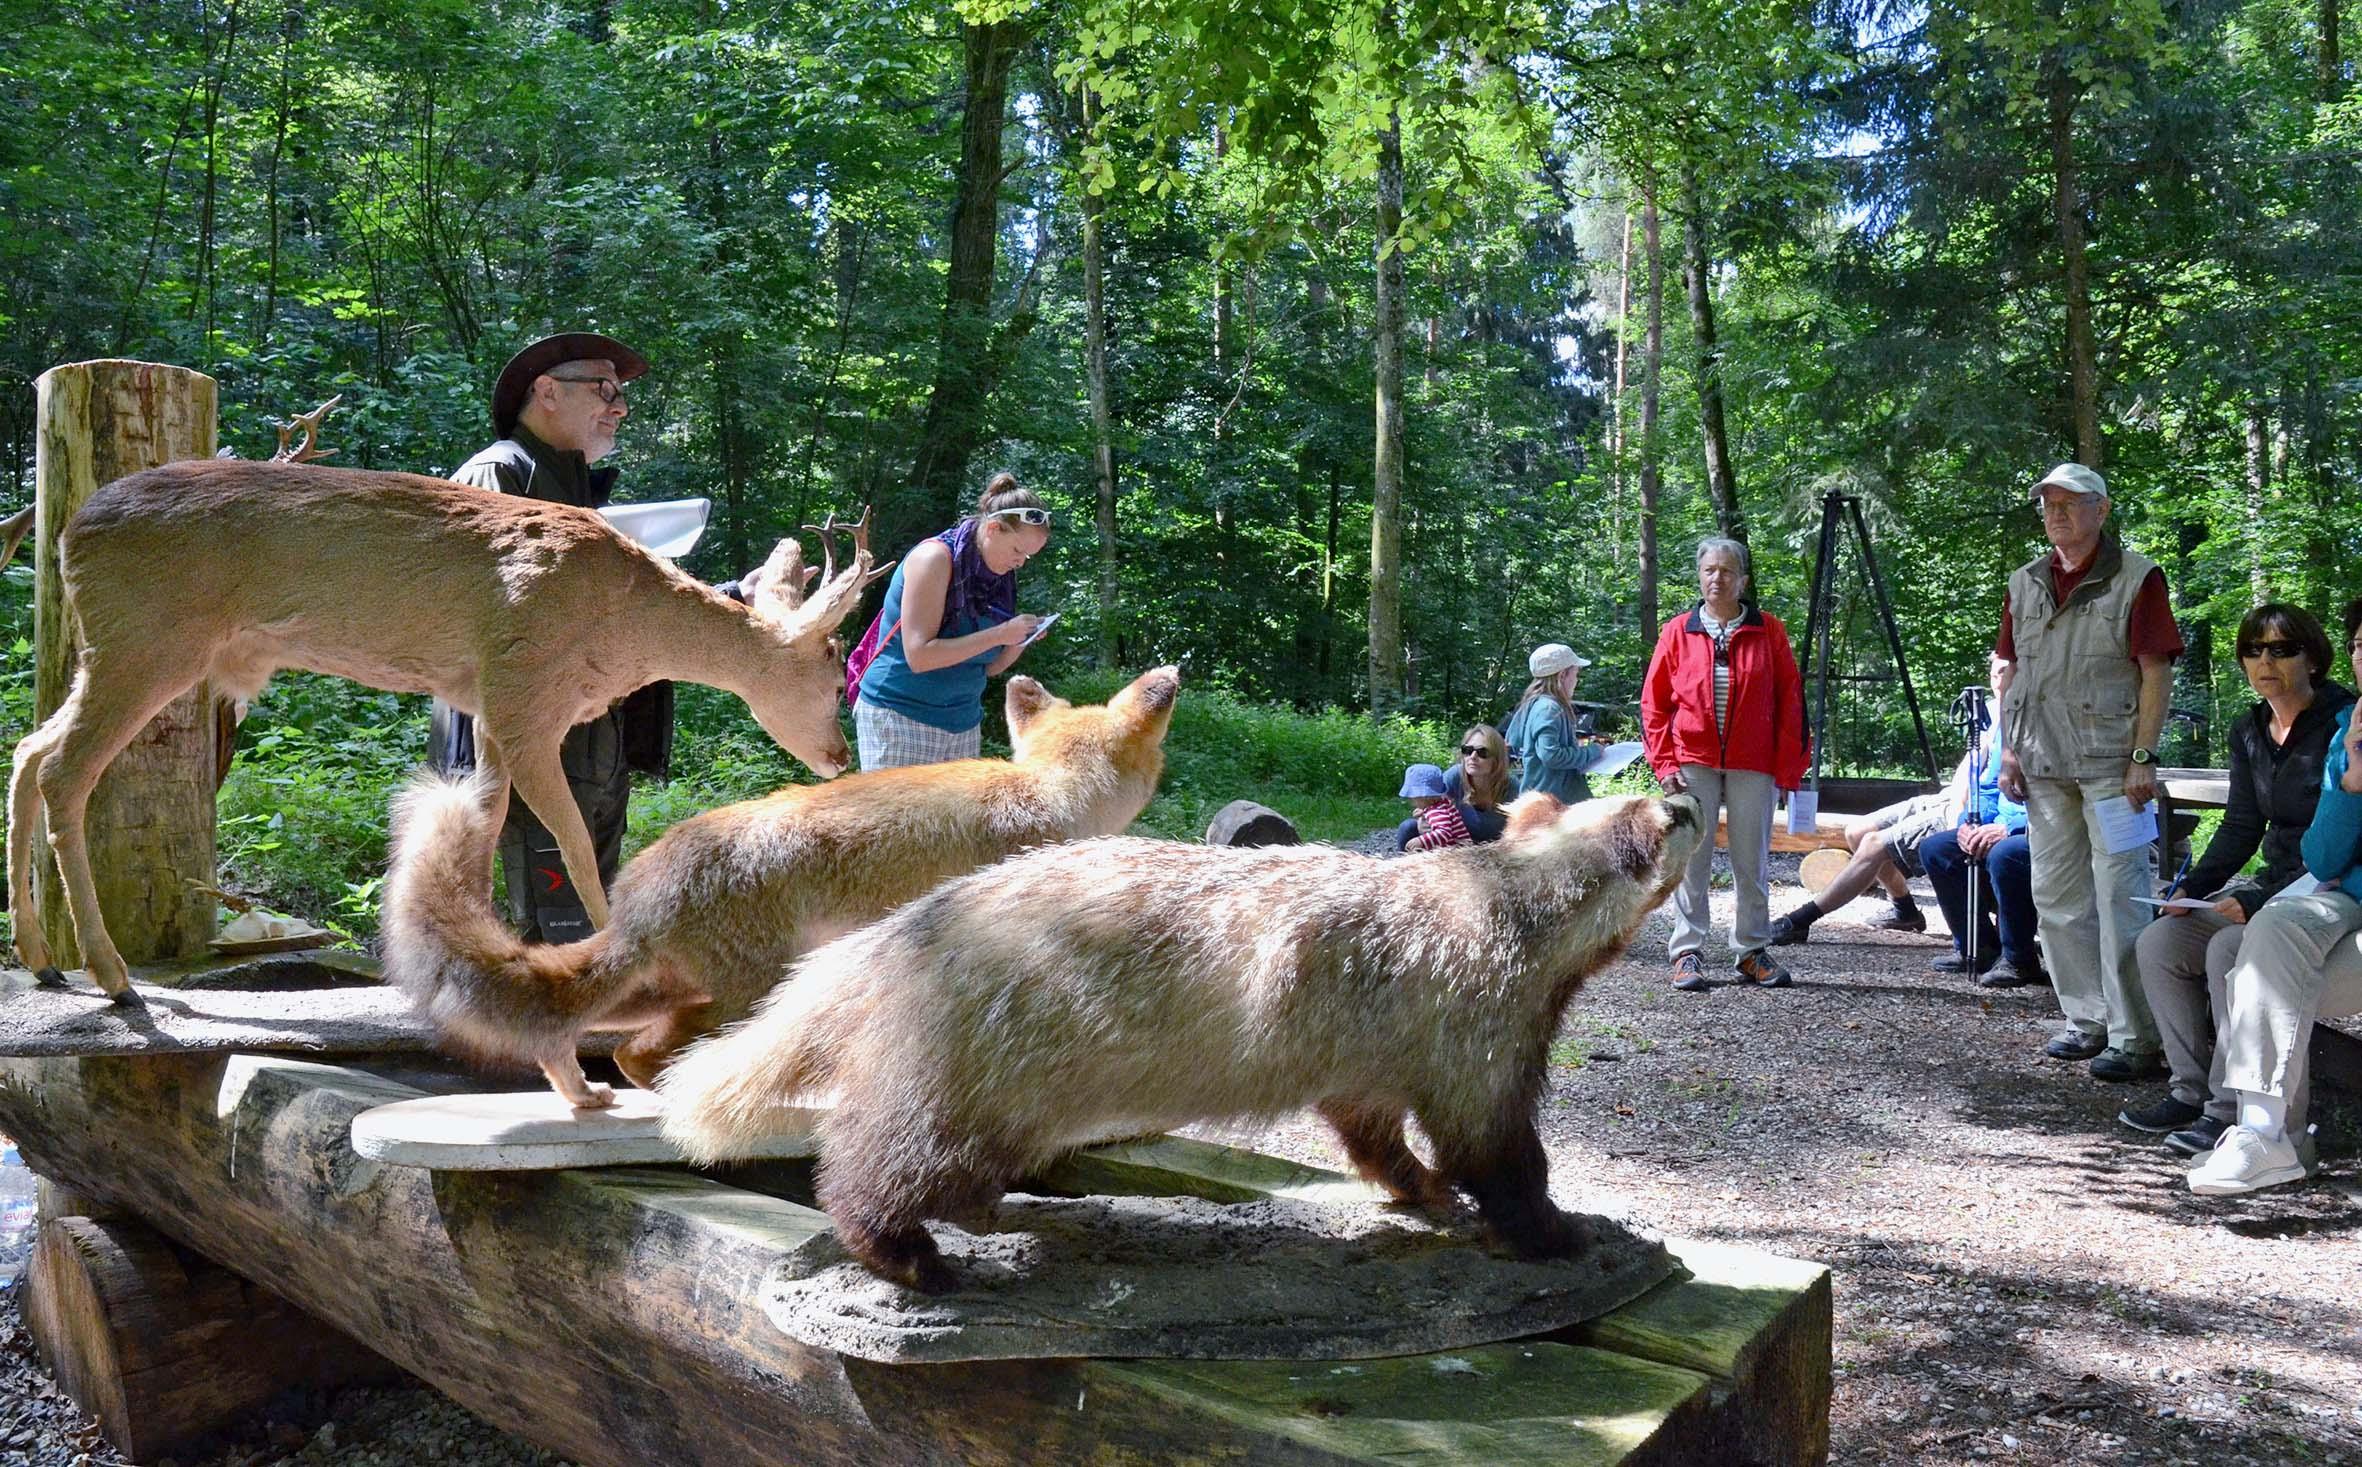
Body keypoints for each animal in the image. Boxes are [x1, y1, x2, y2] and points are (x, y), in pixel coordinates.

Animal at [4, 463, 888, 1001]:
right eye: (834, 653)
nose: (839, 755)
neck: (624, 624)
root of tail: (68, 532)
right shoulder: (524, 695)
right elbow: (572, 843)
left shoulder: (490, 705)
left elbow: (487, 821)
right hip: (148, 640)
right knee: (63, 770)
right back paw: (111, 973)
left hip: (115, 648)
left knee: (27, 749)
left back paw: (43, 961)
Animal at [382, 670, 1181, 1105]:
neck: (1048, 793)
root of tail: (641, 887)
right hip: (740, 995)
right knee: (642, 1055)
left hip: (664, 988)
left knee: (562, 1035)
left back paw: (585, 1097)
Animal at [656, 789, 1710, 1294]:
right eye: (1653, 811)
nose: (1687, 799)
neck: (1502, 903)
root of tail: (896, 934)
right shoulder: (1479, 1029)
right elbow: (1496, 1148)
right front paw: (1555, 1228)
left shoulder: (1373, 1052)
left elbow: (1370, 1128)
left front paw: (1422, 1191)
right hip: (974, 1068)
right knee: (876, 1161)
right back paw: (913, 1255)